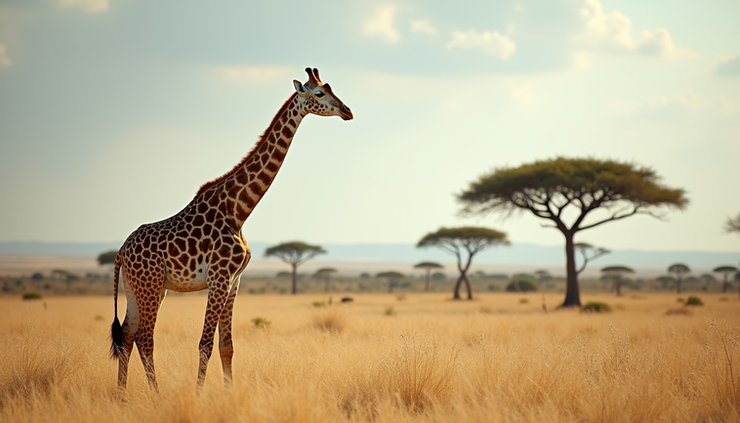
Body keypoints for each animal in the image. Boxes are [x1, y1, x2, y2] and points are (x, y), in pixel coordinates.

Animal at [110, 67, 353, 390]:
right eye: (319, 93)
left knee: (126, 335)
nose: (348, 111)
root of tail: (121, 251)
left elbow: (227, 346)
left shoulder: (235, 280)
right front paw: (199, 394)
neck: (239, 211)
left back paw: (121, 395)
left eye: (330, 87)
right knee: (145, 339)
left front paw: (229, 392)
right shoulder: (219, 278)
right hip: (150, 286)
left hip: (140, 288)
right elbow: (205, 344)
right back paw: (156, 394)